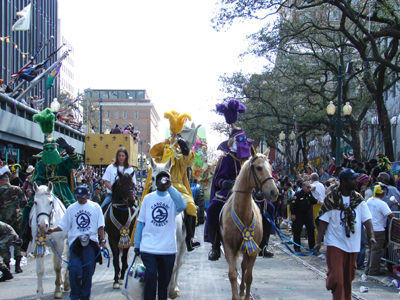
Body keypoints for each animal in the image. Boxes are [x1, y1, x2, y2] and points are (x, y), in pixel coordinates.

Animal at [219, 148, 278, 300]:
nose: (274, 192)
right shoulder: (229, 247)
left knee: (244, 267)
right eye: (258, 168)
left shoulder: (253, 249)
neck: (243, 213)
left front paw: (244, 294)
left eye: (271, 168)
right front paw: (235, 295)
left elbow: (249, 276)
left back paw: (241, 290)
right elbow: (233, 274)